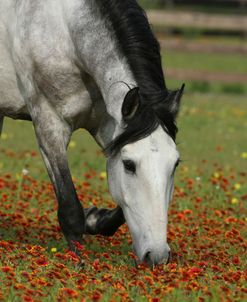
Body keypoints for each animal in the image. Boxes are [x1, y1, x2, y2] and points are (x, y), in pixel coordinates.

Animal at [0, 0, 184, 266]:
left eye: (175, 163)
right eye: (129, 165)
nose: (157, 256)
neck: (65, 32)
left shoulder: (110, 128)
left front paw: (94, 217)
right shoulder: (50, 126)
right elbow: (70, 207)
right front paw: (79, 261)